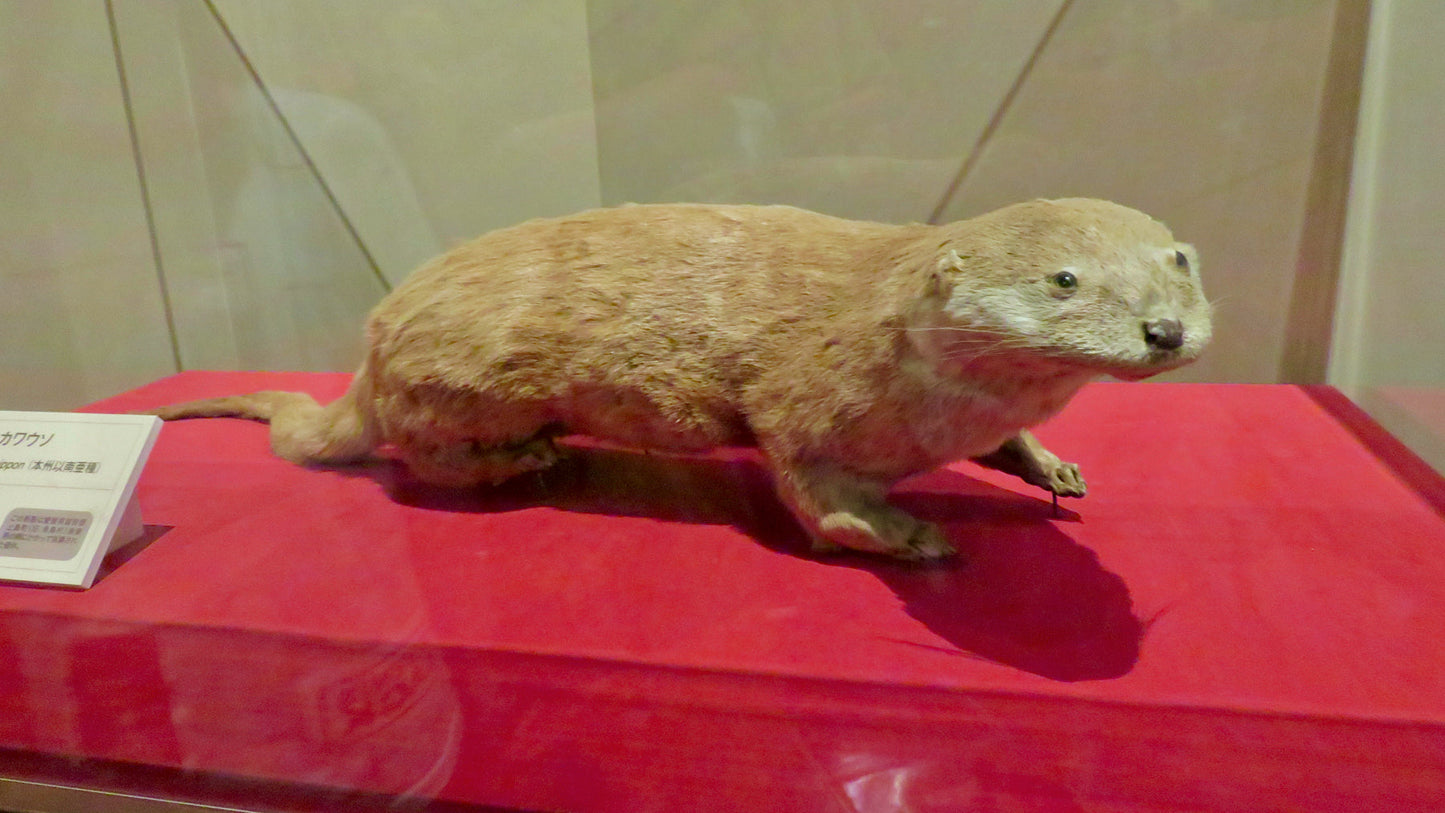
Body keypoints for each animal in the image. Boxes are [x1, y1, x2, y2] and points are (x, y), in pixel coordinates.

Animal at [148, 199, 1211, 560]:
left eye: (1177, 260)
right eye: (1064, 280)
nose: (1162, 329)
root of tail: (370, 344)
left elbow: (1010, 440)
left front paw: (1049, 464)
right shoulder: (802, 408)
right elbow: (817, 498)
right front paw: (908, 535)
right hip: (446, 388)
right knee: (427, 458)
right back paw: (523, 458)